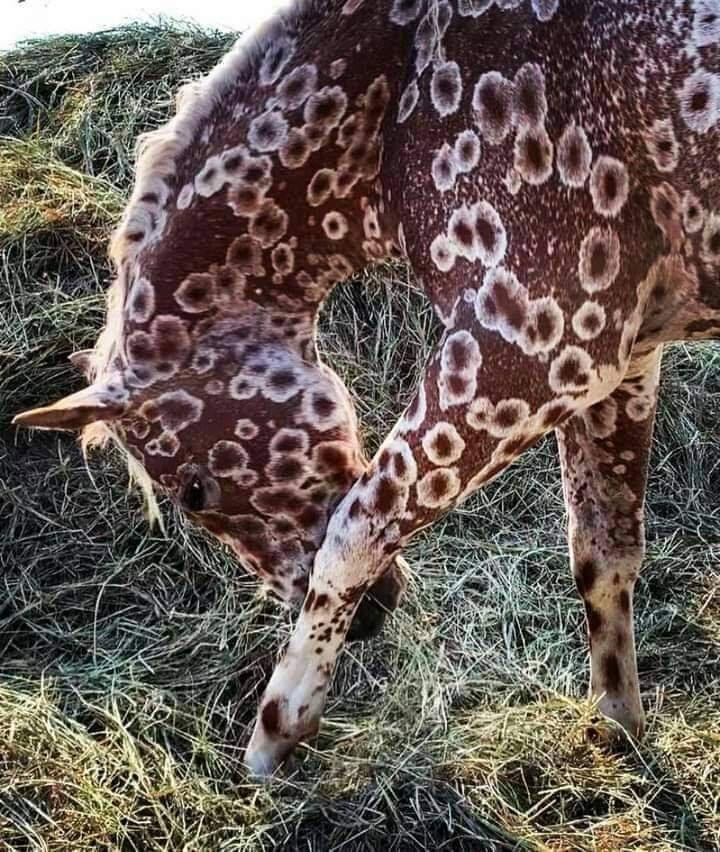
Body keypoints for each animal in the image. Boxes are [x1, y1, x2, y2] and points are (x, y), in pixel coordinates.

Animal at [14, 0, 720, 776]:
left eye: (195, 490)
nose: (370, 621)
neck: (399, 86)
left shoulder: (536, 352)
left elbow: (354, 530)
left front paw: (275, 733)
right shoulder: (623, 360)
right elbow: (603, 550)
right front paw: (617, 726)